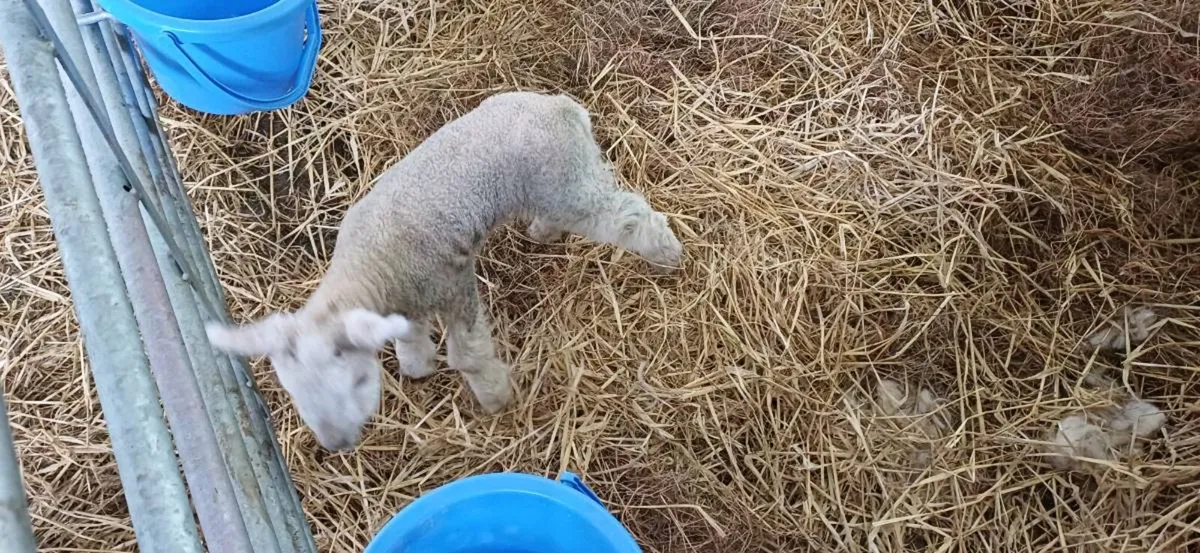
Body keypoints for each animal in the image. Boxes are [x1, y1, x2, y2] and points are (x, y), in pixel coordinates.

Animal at [204, 92, 683, 451]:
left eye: (358, 381)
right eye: (295, 393)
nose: (337, 445)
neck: (371, 263)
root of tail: (563, 107)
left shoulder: (453, 282)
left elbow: (467, 355)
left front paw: (496, 399)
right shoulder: (407, 298)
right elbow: (410, 336)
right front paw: (418, 366)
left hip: (567, 183)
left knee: (625, 216)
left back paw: (667, 252)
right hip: (552, 187)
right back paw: (543, 232)